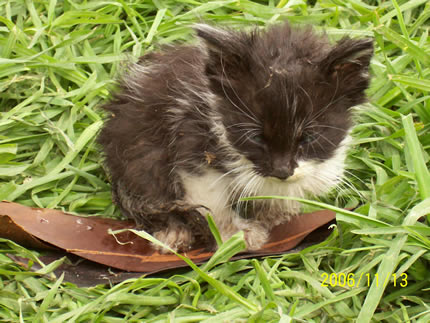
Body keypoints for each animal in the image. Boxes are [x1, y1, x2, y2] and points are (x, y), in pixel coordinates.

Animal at [98, 21, 372, 254]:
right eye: (257, 138)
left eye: (308, 138)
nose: (282, 171)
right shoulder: (191, 135)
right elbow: (211, 200)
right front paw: (235, 236)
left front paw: (275, 211)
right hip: (139, 150)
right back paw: (172, 233)